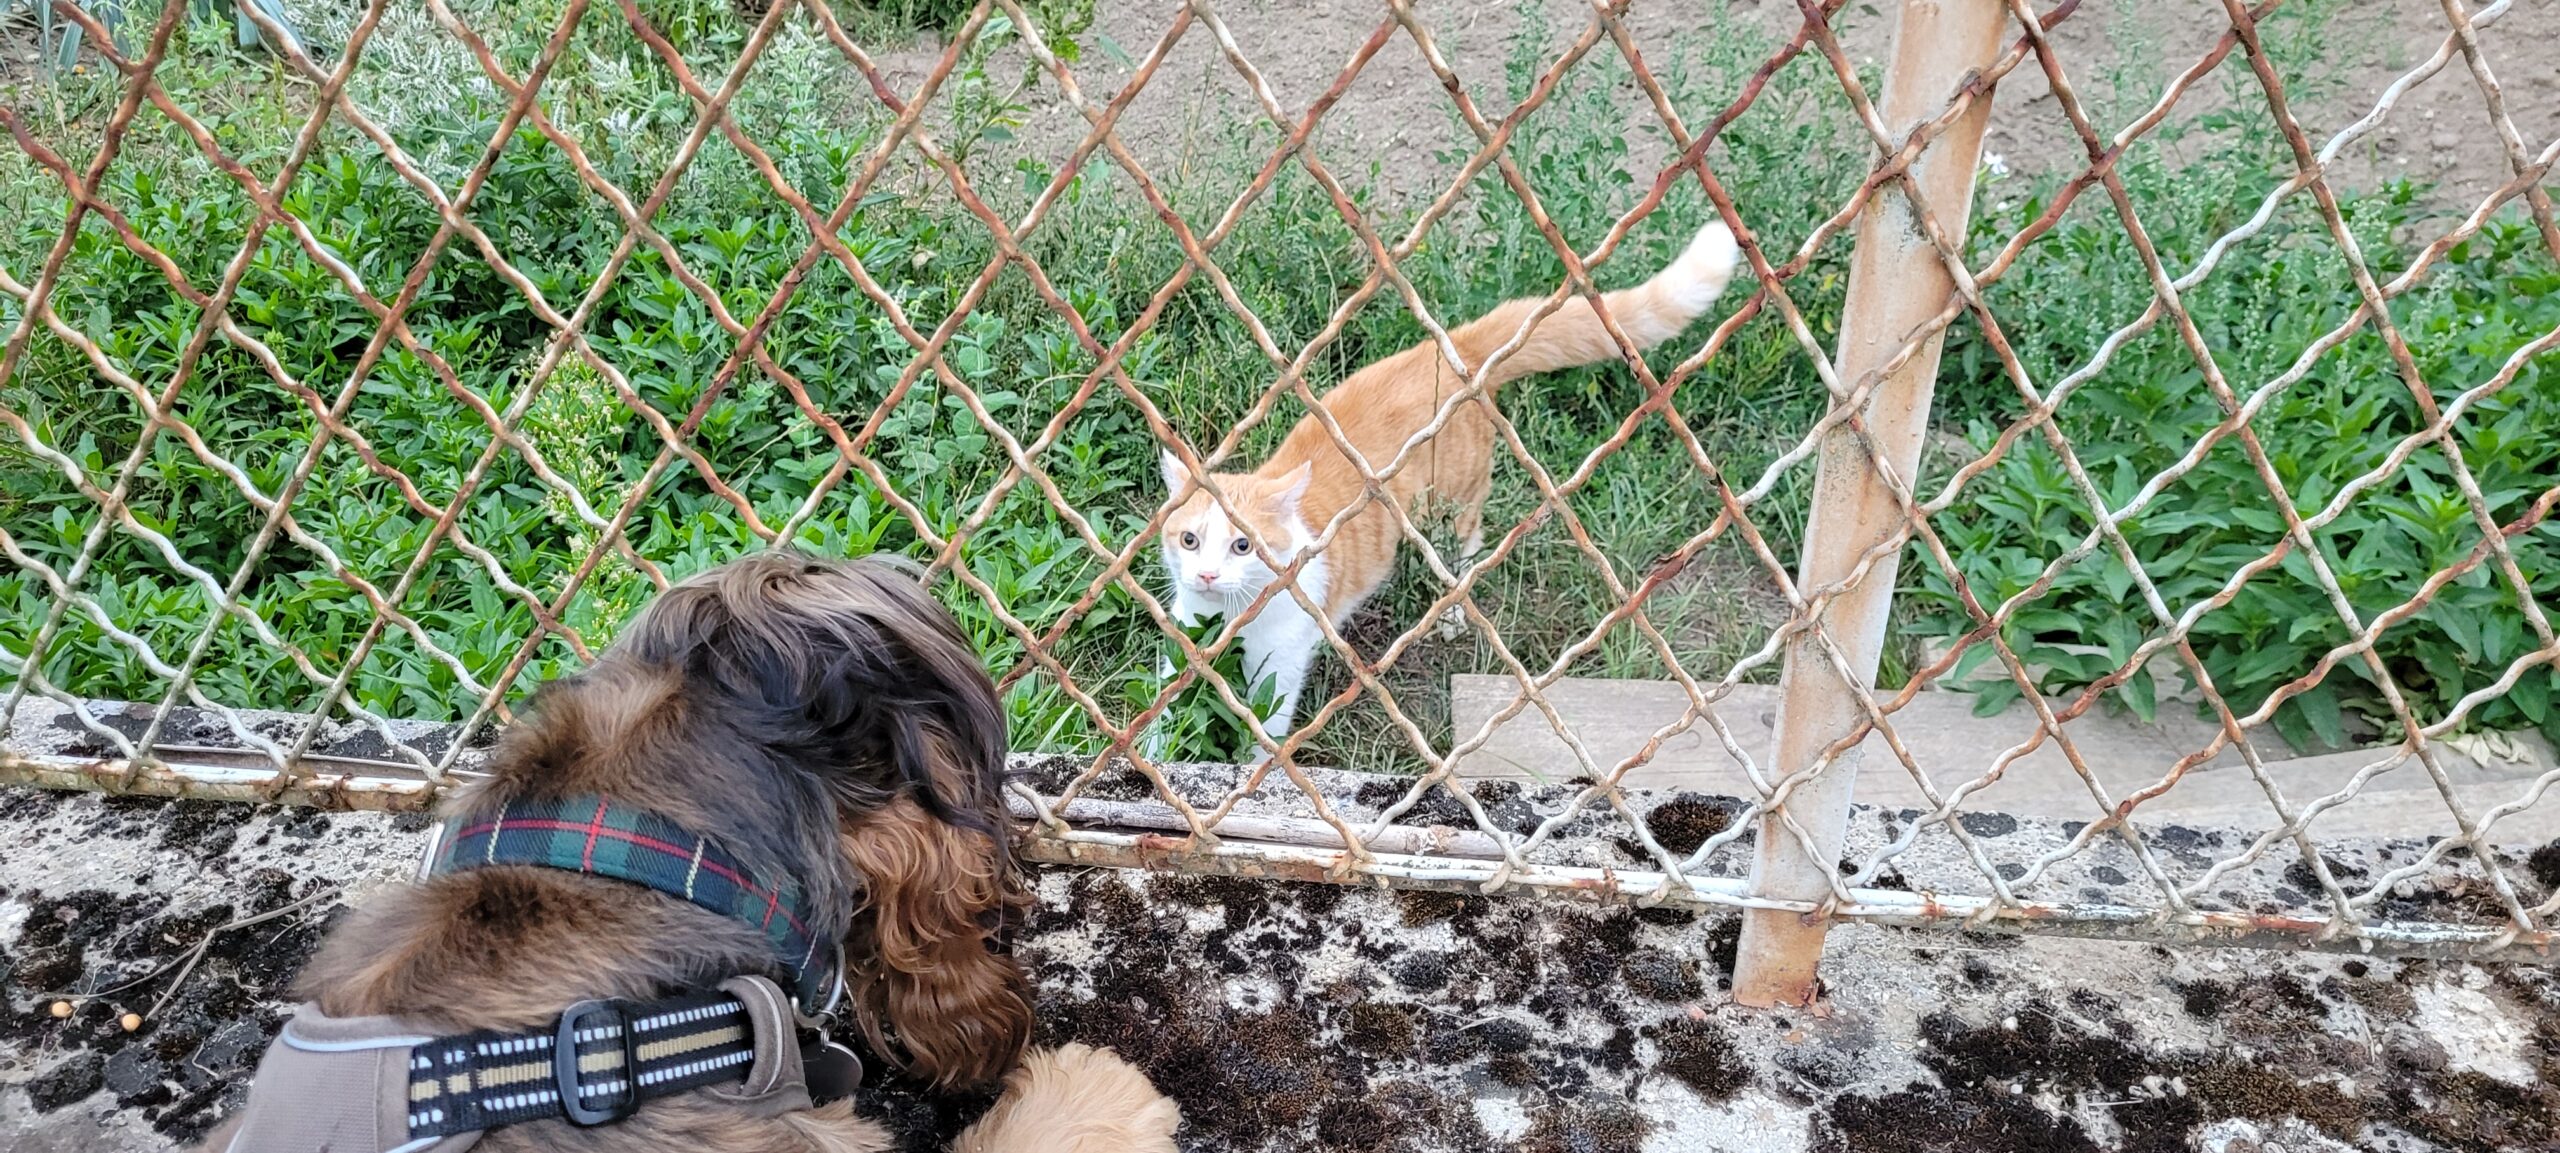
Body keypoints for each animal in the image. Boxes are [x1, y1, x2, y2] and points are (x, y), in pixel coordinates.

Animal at [1157, 222, 1740, 748]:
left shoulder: (1280, 662)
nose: (1206, 575)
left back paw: (1455, 611)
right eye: (1189, 540)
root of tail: (1452, 346)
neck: (1228, 619)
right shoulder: (1185, 641)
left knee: (1468, 548)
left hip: (1456, 501)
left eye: (1243, 545)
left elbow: (1265, 732)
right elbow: (1166, 711)